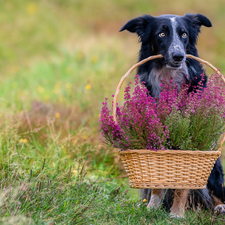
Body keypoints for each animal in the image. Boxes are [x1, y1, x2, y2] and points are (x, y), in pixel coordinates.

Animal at [120, 13, 225, 217]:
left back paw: (218, 207)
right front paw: (152, 208)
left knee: (215, 194)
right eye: (161, 34)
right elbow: (158, 183)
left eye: (184, 34)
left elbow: (183, 184)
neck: (169, 76)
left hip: (214, 169)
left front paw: (176, 214)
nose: (179, 56)